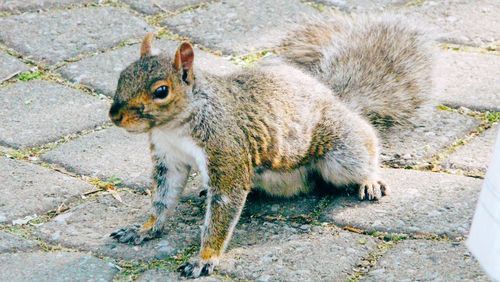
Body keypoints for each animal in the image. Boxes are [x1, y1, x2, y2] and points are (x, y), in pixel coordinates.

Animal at [108, 13, 430, 278]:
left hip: (341, 151)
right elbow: (163, 198)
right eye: (122, 75)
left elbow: (223, 210)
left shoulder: (226, 150)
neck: (175, 127)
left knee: (364, 148)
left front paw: (204, 258)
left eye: (161, 91)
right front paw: (144, 228)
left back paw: (369, 180)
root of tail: (336, 99)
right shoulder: (169, 158)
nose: (114, 115)